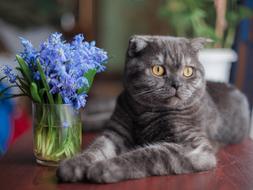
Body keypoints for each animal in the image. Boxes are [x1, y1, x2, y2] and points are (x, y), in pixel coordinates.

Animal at [56, 35, 250, 183]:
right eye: (158, 69)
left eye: (188, 71)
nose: (176, 84)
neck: (145, 113)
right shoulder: (115, 133)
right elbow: (96, 149)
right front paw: (74, 165)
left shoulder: (196, 148)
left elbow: (146, 155)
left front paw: (102, 168)